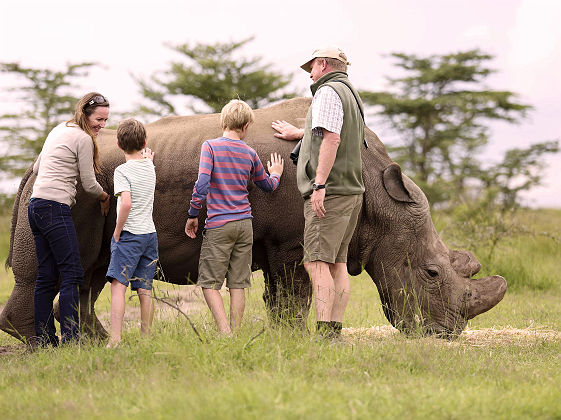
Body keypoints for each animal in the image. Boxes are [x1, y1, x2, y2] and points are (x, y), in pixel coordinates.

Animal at [0, 98, 506, 342]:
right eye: (432, 273)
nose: (447, 334)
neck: (378, 197)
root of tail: (31, 165)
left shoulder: (290, 241)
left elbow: (285, 295)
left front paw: (284, 338)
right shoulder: (292, 241)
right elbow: (294, 294)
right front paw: (294, 340)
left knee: (89, 274)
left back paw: (90, 342)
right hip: (71, 190)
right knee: (65, 269)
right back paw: (48, 346)